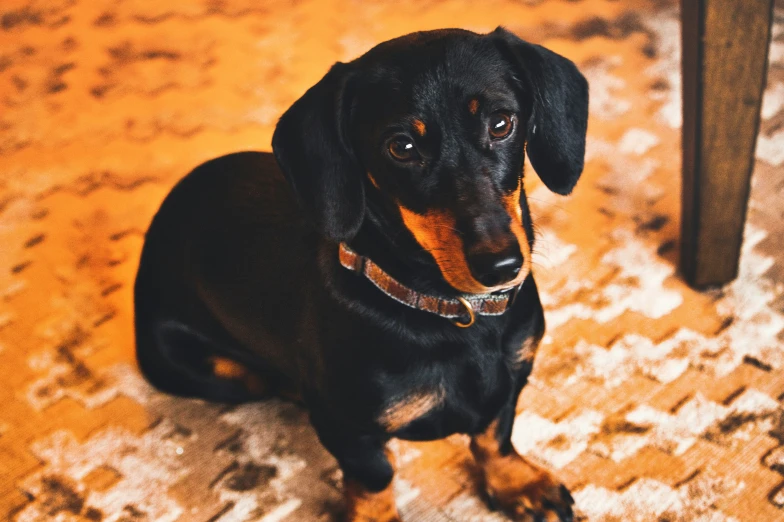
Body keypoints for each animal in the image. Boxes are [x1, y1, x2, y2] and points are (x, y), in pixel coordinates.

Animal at [135, 27, 588, 520]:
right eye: (401, 147)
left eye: (502, 123)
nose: (501, 265)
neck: (450, 311)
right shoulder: (350, 429)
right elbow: (375, 477)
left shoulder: (513, 376)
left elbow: (494, 436)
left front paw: (518, 484)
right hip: (201, 367)